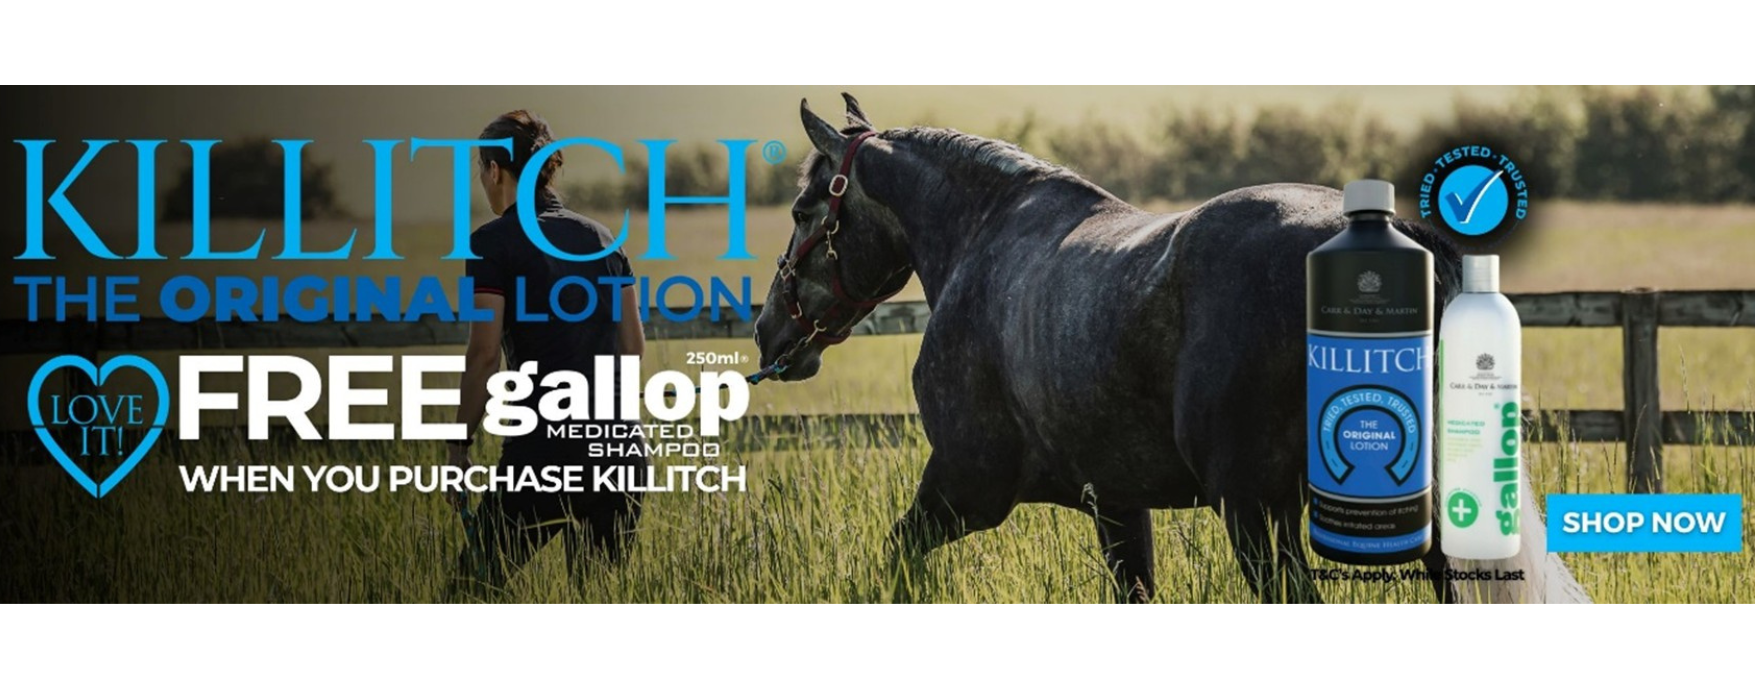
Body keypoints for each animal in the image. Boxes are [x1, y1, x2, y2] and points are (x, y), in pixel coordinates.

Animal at [753, 93, 1586, 603]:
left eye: (803, 210)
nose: (769, 331)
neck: (982, 241)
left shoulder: (964, 484)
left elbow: (895, 557)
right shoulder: (1117, 503)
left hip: (1256, 510)